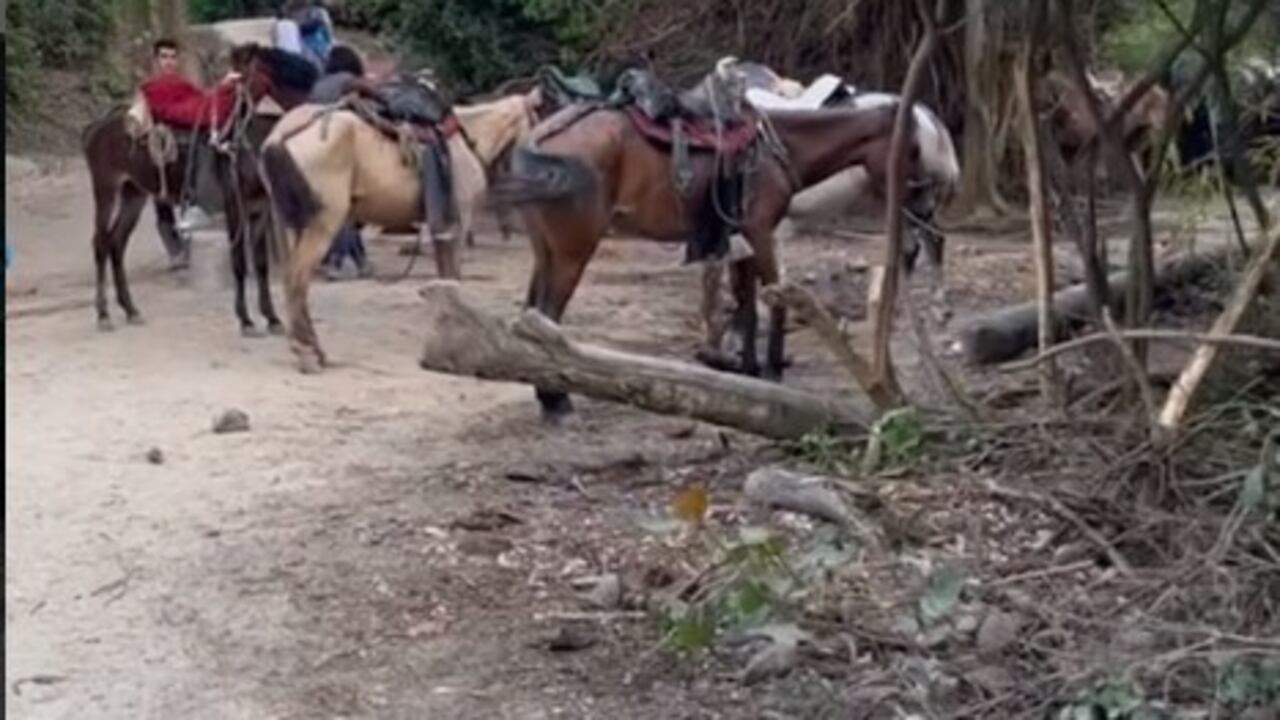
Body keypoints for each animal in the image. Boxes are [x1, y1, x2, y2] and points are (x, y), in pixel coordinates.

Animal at [81, 43, 317, 333]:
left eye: (241, 73)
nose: (227, 130)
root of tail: (95, 128)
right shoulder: (234, 205)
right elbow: (239, 262)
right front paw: (245, 320)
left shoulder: (260, 207)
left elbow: (260, 263)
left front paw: (272, 318)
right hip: (106, 190)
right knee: (101, 243)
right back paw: (103, 314)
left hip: (133, 194)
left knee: (117, 243)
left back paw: (130, 309)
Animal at [258, 80, 490, 374]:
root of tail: (280, 136)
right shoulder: (458, 222)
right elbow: (452, 280)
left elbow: (445, 279)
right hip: (323, 223)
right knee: (297, 279)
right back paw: (307, 354)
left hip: (290, 222)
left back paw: (313, 349)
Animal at [487, 66, 926, 421]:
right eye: (913, 150)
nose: (921, 203)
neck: (779, 145)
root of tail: (539, 135)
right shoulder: (761, 231)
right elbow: (775, 299)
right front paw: (772, 371)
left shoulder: (742, 238)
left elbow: (747, 306)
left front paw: (749, 372)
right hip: (572, 251)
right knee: (547, 317)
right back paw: (556, 400)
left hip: (545, 250)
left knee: (531, 311)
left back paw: (547, 396)